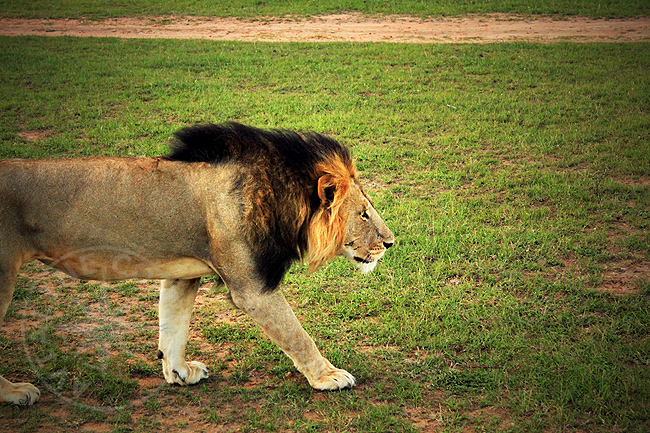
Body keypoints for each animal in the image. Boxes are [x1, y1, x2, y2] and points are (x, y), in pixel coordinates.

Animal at [0, 122, 392, 404]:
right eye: (363, 213)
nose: (390, 242)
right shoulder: (252, 288)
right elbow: (297, 334)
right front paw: (328, 376)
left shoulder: (182, 275)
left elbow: (173, 327)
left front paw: (179, 373)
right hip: (3, 273)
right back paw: (16, 392)